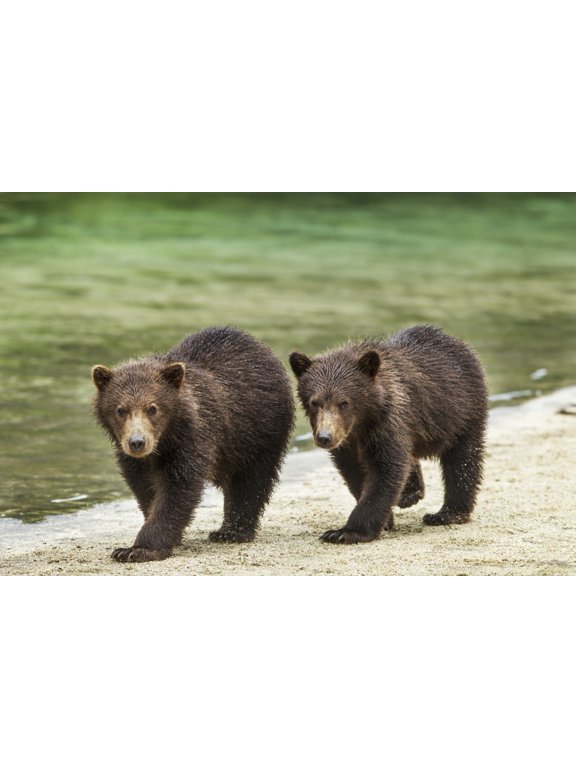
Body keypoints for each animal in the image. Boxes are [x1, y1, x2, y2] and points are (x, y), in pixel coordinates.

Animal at [92, 326, 295, 562]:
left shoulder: (192, 441)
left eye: (153, 408)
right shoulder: (134, 460)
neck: (164, 441)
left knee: (250, 481)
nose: (137, 442)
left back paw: (231, 532)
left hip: (257, 432)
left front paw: (138, 549)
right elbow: (145, 488)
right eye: (120, 409)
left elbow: (177, 490)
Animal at [289, 325, 488, 544]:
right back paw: (410, 493)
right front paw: (386, 521)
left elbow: (386, 470)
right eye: (314, 402)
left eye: (344, 402)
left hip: (461, 412)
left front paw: (345, 532)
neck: (362, 423)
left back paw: (447, 513)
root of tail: (459, 343)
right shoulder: (349, 443)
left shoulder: (386, 424)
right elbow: (355, 472)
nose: (325, 437)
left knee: (462, 460)